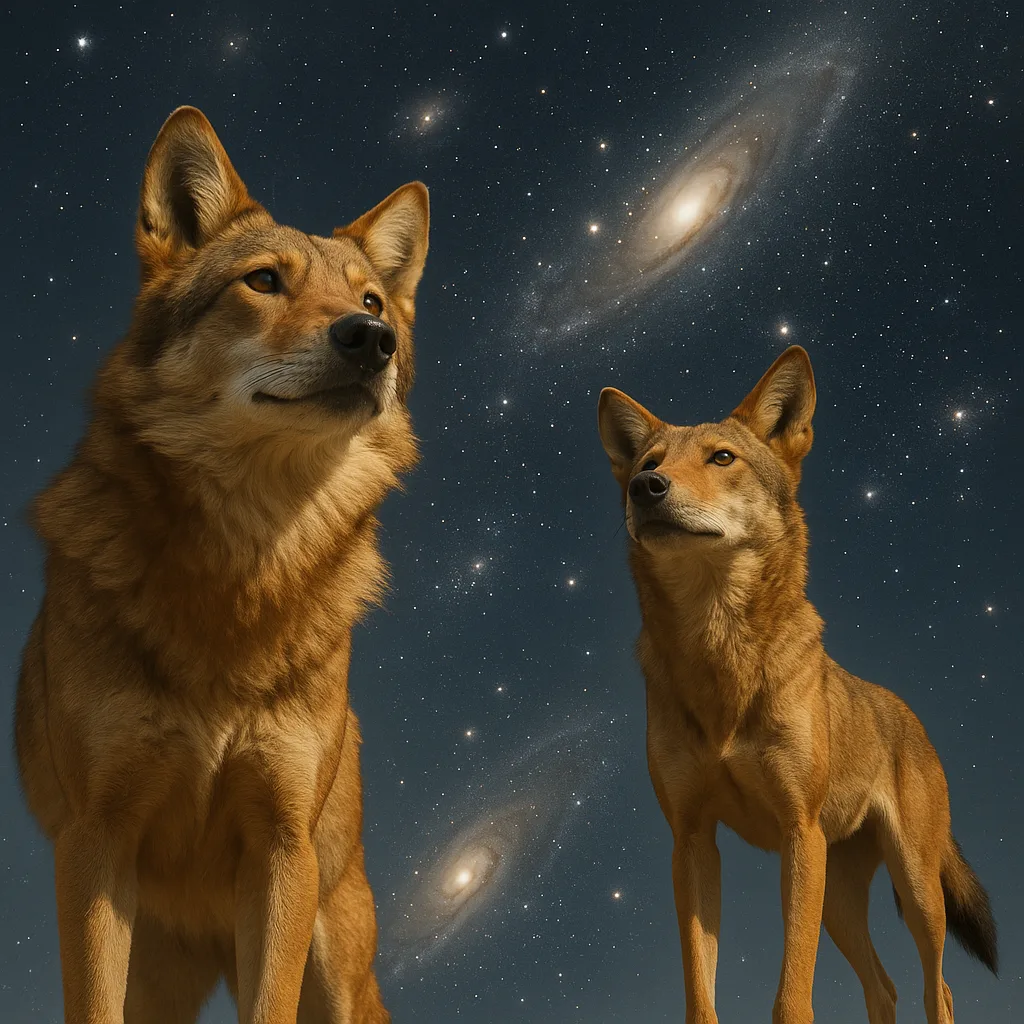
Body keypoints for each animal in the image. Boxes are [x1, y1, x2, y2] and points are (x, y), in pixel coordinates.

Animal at [15, 106, 430, 1023]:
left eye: (371, 299)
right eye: (264, 281)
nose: (372, 340)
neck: (245, 568)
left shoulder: (281, 849)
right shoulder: (96, 842)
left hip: (334, 959)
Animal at [597, 346, 997, 1024]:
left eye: (721, 458)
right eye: (651, 462)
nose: (643, 489)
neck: (720, 649)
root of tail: (906, 710)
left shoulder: (796, 831)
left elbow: (792, 998)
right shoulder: (692, 842)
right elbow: (701, 996)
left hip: (912, 888)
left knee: (935, 986)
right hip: (836, 896)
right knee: (883, 987)